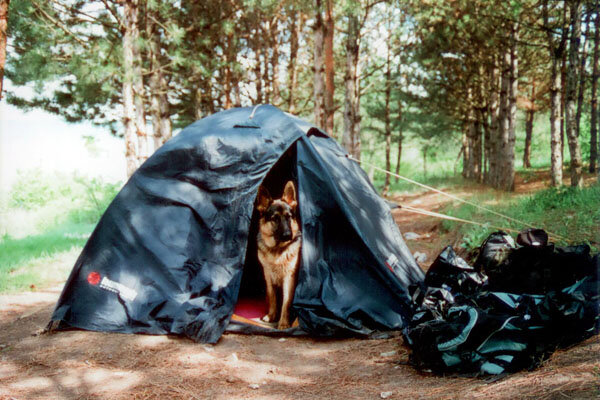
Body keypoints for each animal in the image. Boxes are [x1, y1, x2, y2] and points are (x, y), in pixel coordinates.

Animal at [255, 180, 302, 328]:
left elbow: (286, 303)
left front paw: (283, 324)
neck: (277, 250)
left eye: (289, 217)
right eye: (275, 219)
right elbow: (272, 297)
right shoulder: (268, 276)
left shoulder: (289, 278)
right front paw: (271, 316)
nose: (287, 235)